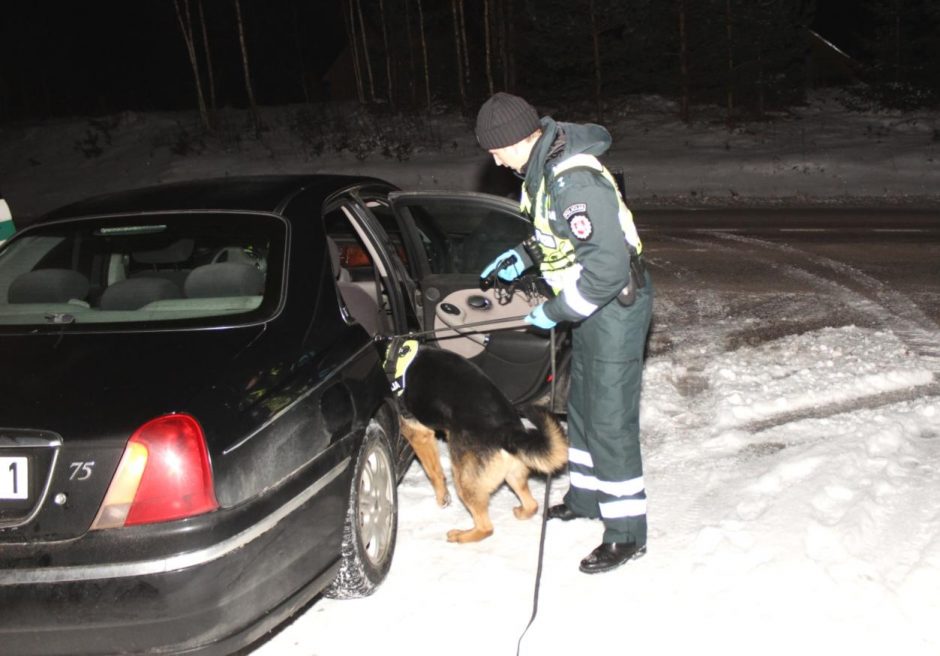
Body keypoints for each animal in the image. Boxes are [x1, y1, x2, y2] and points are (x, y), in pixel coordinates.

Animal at [396, 348, 564, 544]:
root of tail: (507, 432)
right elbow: (436, 471)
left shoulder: (416, 431)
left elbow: (433, 472)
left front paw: (441, 497)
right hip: (513, 475)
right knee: (532, 505)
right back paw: (521, 512)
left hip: (464, 480)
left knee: (487, 528)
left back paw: (461, 535)